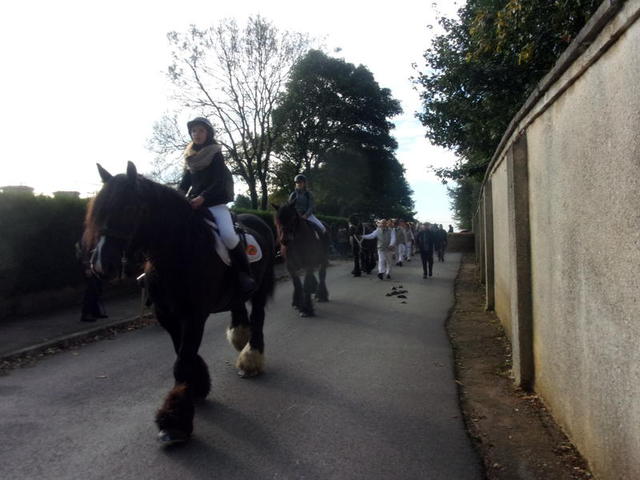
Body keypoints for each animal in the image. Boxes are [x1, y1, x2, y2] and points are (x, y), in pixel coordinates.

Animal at [83, 162, 276, 446]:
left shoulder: (195, 316)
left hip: (260, 290)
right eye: (99, 210)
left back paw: (251, 358)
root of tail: (257, 220)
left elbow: (182, 361)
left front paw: (174, 420)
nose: (100, 264)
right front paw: (196, 386)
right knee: (239, 309)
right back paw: (240, 337)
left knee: (259, 319)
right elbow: (181, 354)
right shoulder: (167, 315)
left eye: (129, 208)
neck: (179, 250)